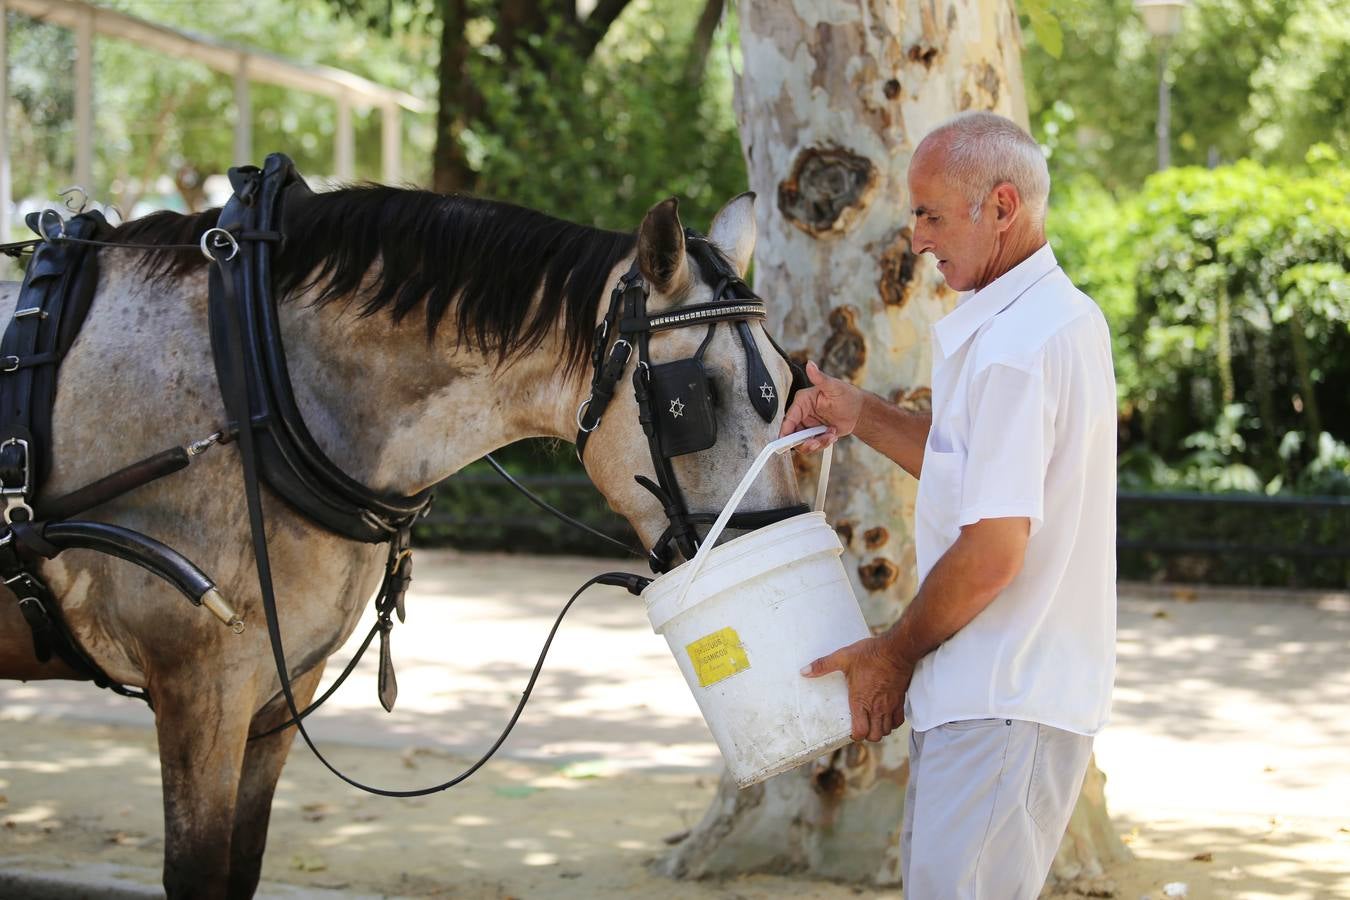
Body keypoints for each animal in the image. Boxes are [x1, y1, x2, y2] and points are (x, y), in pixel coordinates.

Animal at [0, 180, 804, 895]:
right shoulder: (200, 687)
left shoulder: (280, 686)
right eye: (691, 400)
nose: (769, 544)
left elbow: (242, 864)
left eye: (790, 382)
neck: (252, 379)